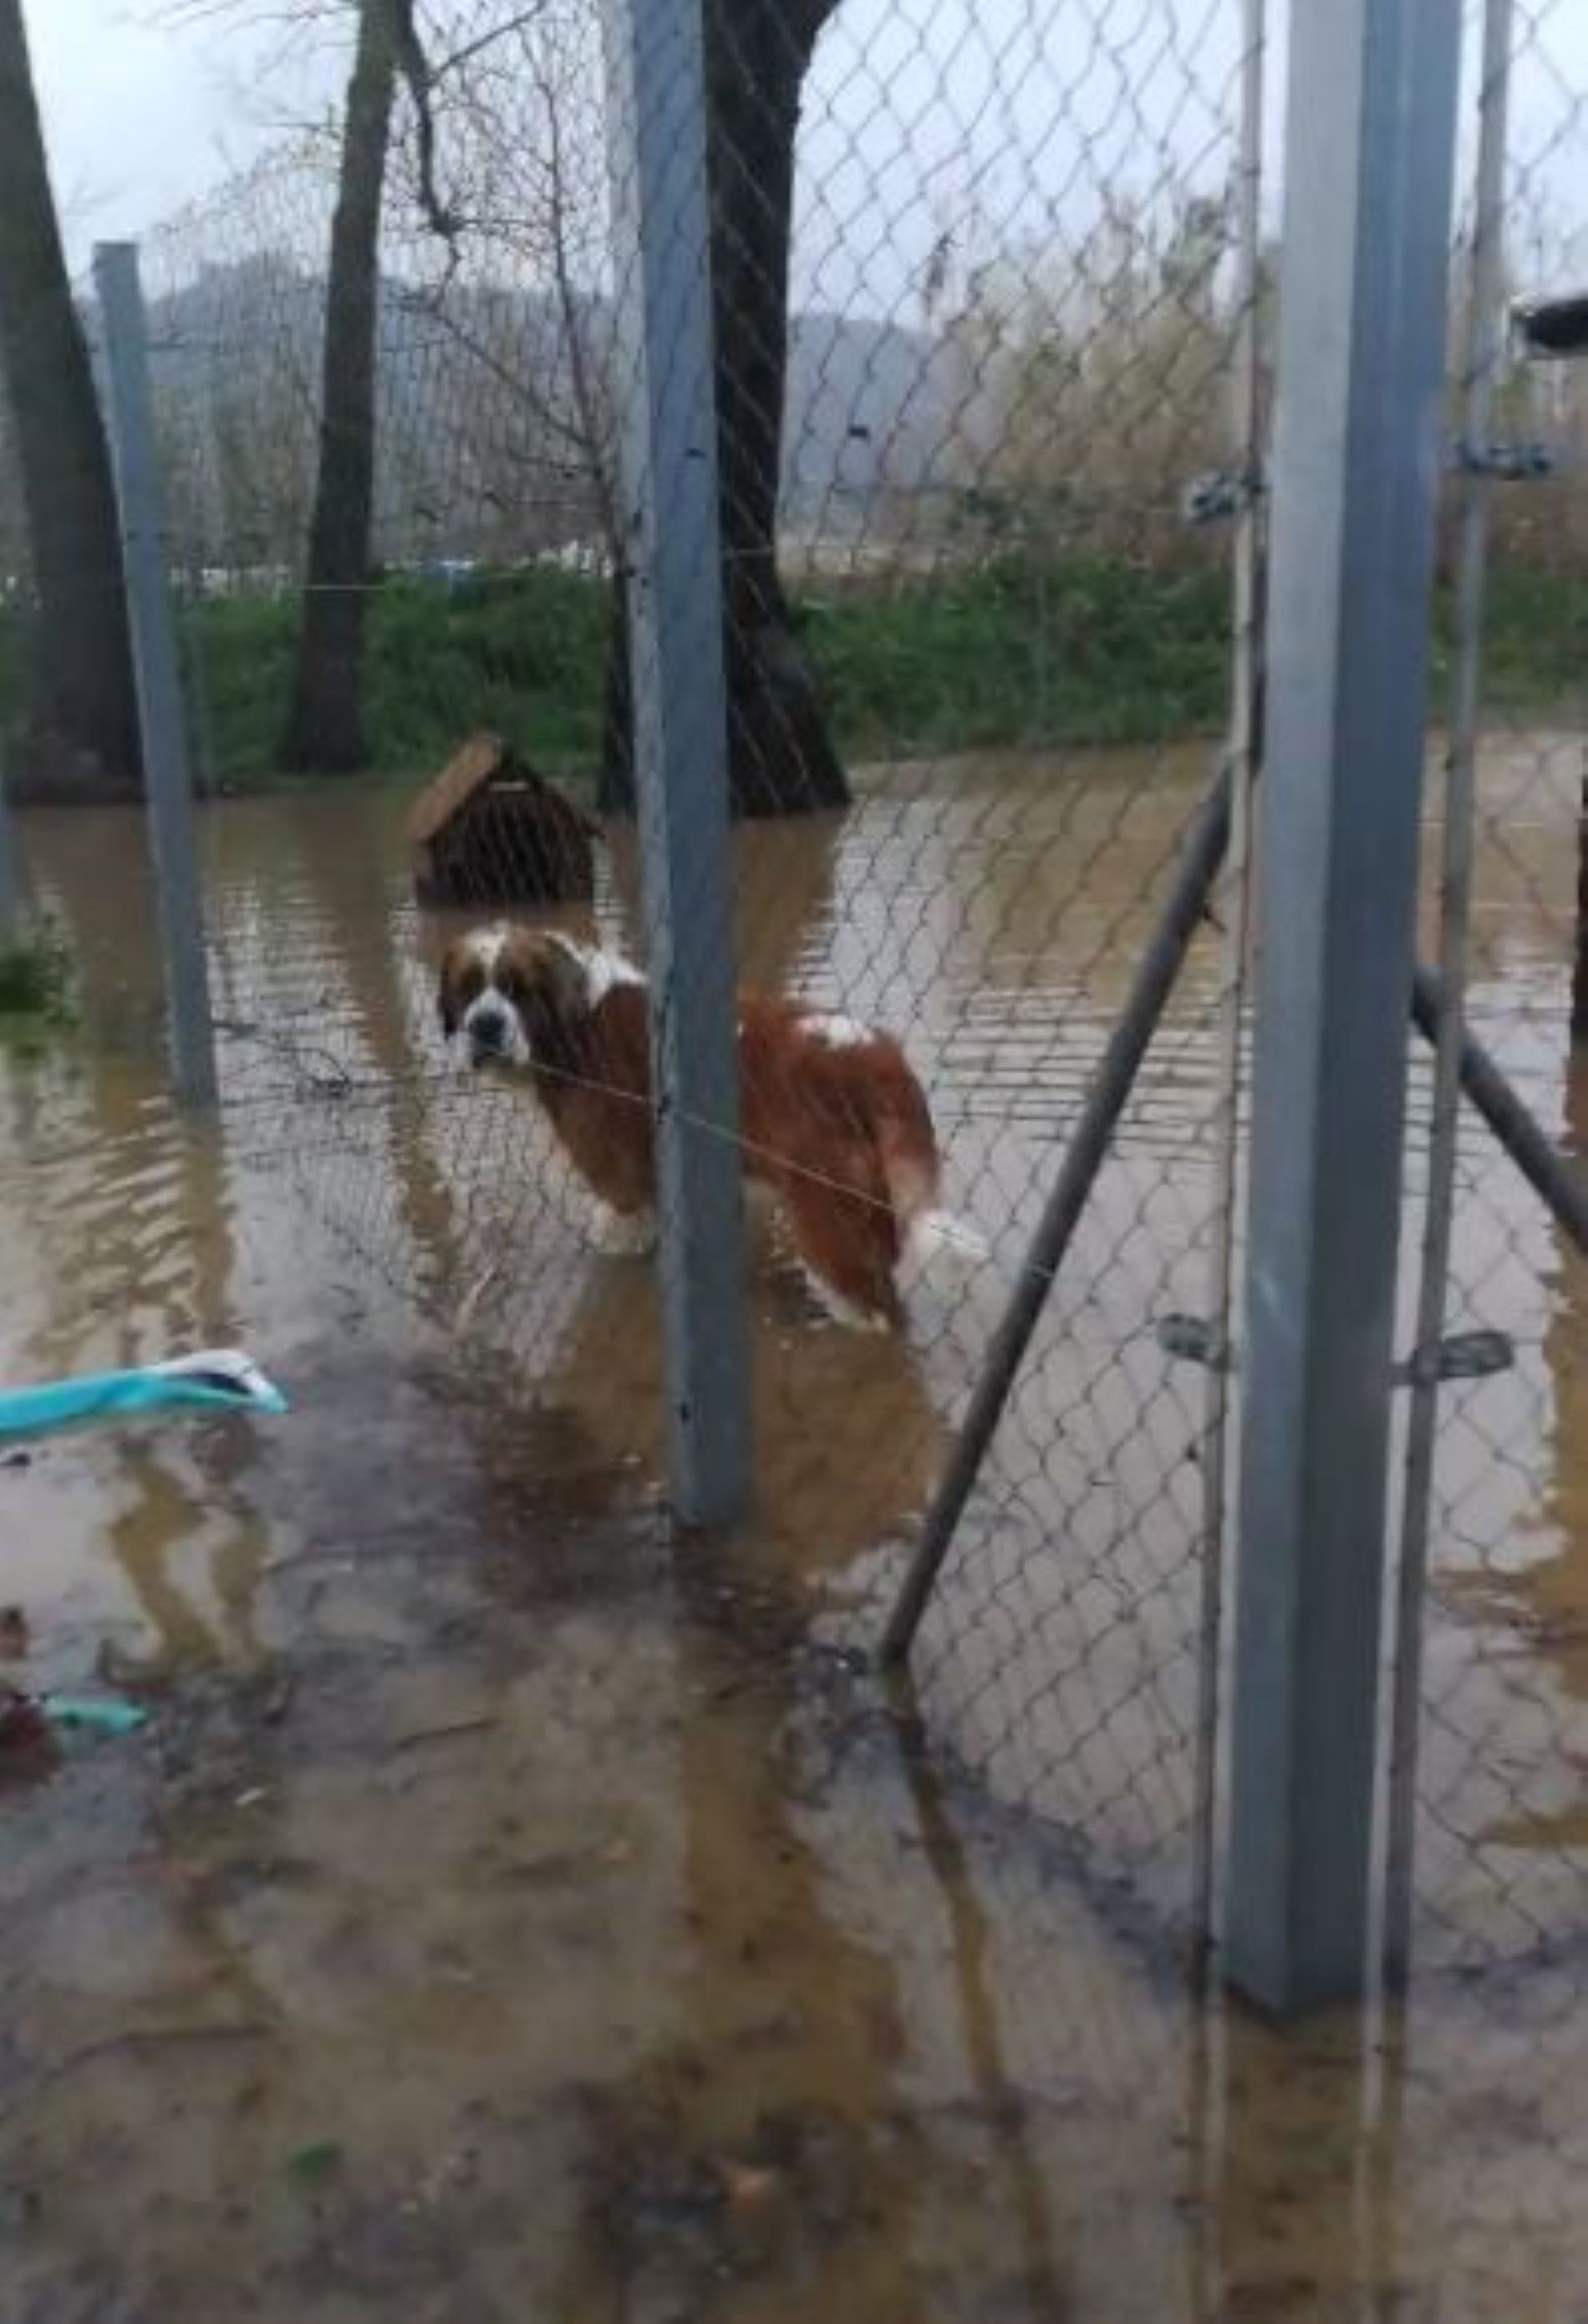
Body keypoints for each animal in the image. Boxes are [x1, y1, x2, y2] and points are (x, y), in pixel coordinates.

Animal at [435, 920, 980, 1338]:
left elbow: (618, 1226)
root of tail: (880, 1060)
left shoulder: (618, 1181)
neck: (574, 1024)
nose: (485, 1025)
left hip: (828, 1221)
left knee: (872, 1309)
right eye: (468, 989)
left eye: (517, 989)